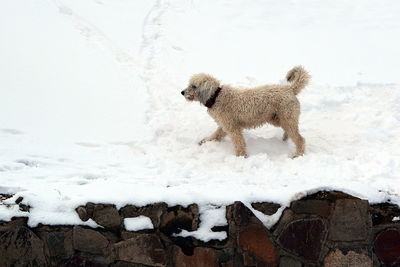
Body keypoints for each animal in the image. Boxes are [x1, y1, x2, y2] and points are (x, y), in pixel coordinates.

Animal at [181, 66, 310, 158]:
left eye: (194, 86)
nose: (182, 92)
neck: (216, 97)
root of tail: (290, 89)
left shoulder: (233, 128)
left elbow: (239, 143)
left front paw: (241, 157)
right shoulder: (224, 125)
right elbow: (216, 134)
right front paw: (206, 141)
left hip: (287, 119)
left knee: (300, 139)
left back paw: (298, 154)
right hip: (278, 119)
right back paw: (284, 139)